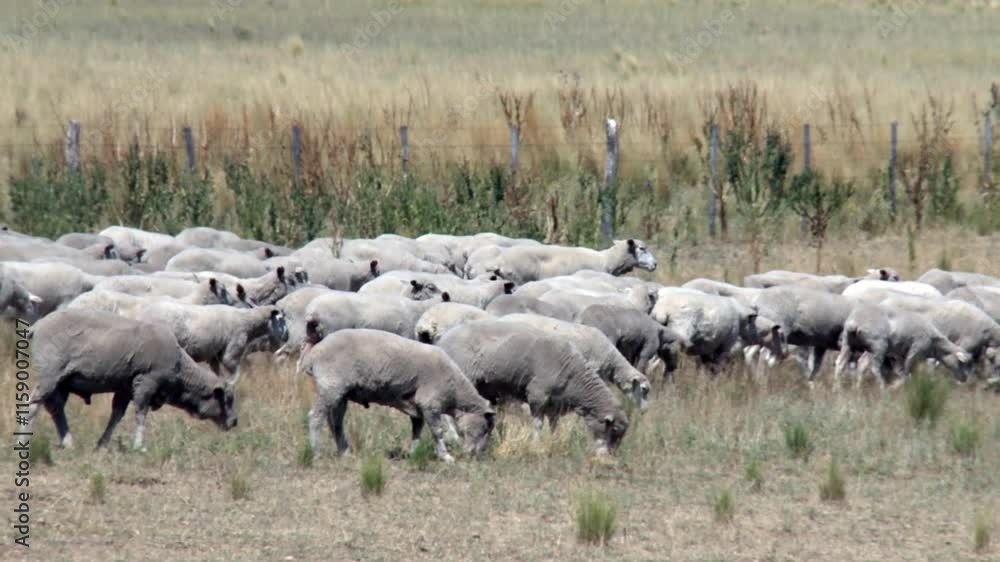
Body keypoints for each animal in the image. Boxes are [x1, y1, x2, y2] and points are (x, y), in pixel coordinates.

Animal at [24, 309, 239, 450]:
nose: (235, 422)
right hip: (50, 374)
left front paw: (102, 444)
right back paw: (24, 440)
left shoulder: (125, 388)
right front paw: (139, 445)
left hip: (62, 382)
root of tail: (37, 326)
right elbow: (141, 414)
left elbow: (116, 416)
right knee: (33, 403)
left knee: (55, 408)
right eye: (227, 399)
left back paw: (67, 442)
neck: (180, 369)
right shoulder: (146, 383)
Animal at [299, 329, 495, 462]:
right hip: (330, 386)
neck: (455, 391)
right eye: (486, 428)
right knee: (315, 417)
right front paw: (446, 457)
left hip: (340, 392)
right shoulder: (430, 403)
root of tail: (313, 355)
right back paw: (316, 453)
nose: (476, 454)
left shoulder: (417, 407)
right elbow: (437, 431)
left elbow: (417, 432)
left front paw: (414, 454)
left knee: (335, 422)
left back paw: (345, 452)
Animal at [437, 319, 628, 454]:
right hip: (461, 377)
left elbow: (554, 425)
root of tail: (443, 339)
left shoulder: (555, 404)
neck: (573, 376)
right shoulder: (538, 395)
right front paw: (536, 445)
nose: (609, 456)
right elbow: (537, 424)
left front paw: (554, 441)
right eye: (614, 430)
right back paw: (454, 436)